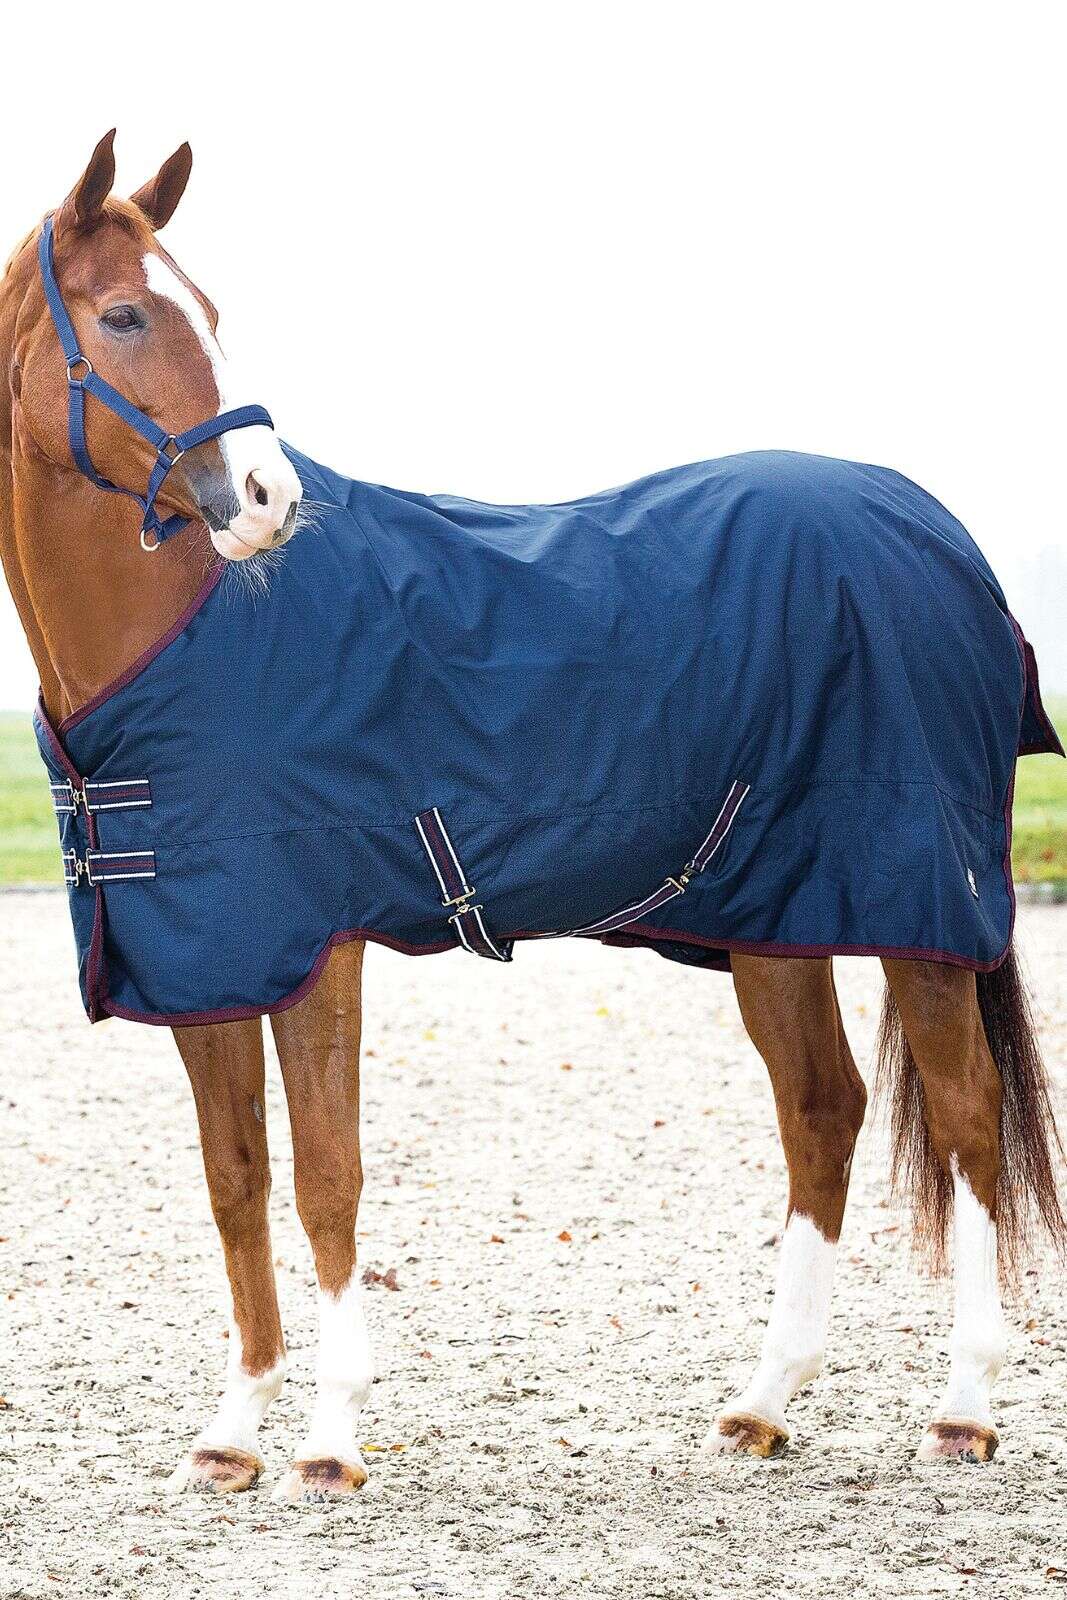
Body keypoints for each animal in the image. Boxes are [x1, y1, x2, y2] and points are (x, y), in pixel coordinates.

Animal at [1, 132, 1063, 1503]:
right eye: (126, 314)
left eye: (210, 313)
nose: (266, 497)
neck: (197, 636)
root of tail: (939, 534)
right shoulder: (206, 959)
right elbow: (236, 1180)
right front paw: (232, 1433)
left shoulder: (315, 948)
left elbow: (327, 1176)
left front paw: (332, 1440)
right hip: (775, 919)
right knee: (821, 1112)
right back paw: (762, 1402)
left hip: (918, 910)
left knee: (969, 1121)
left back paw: (963, 1407)